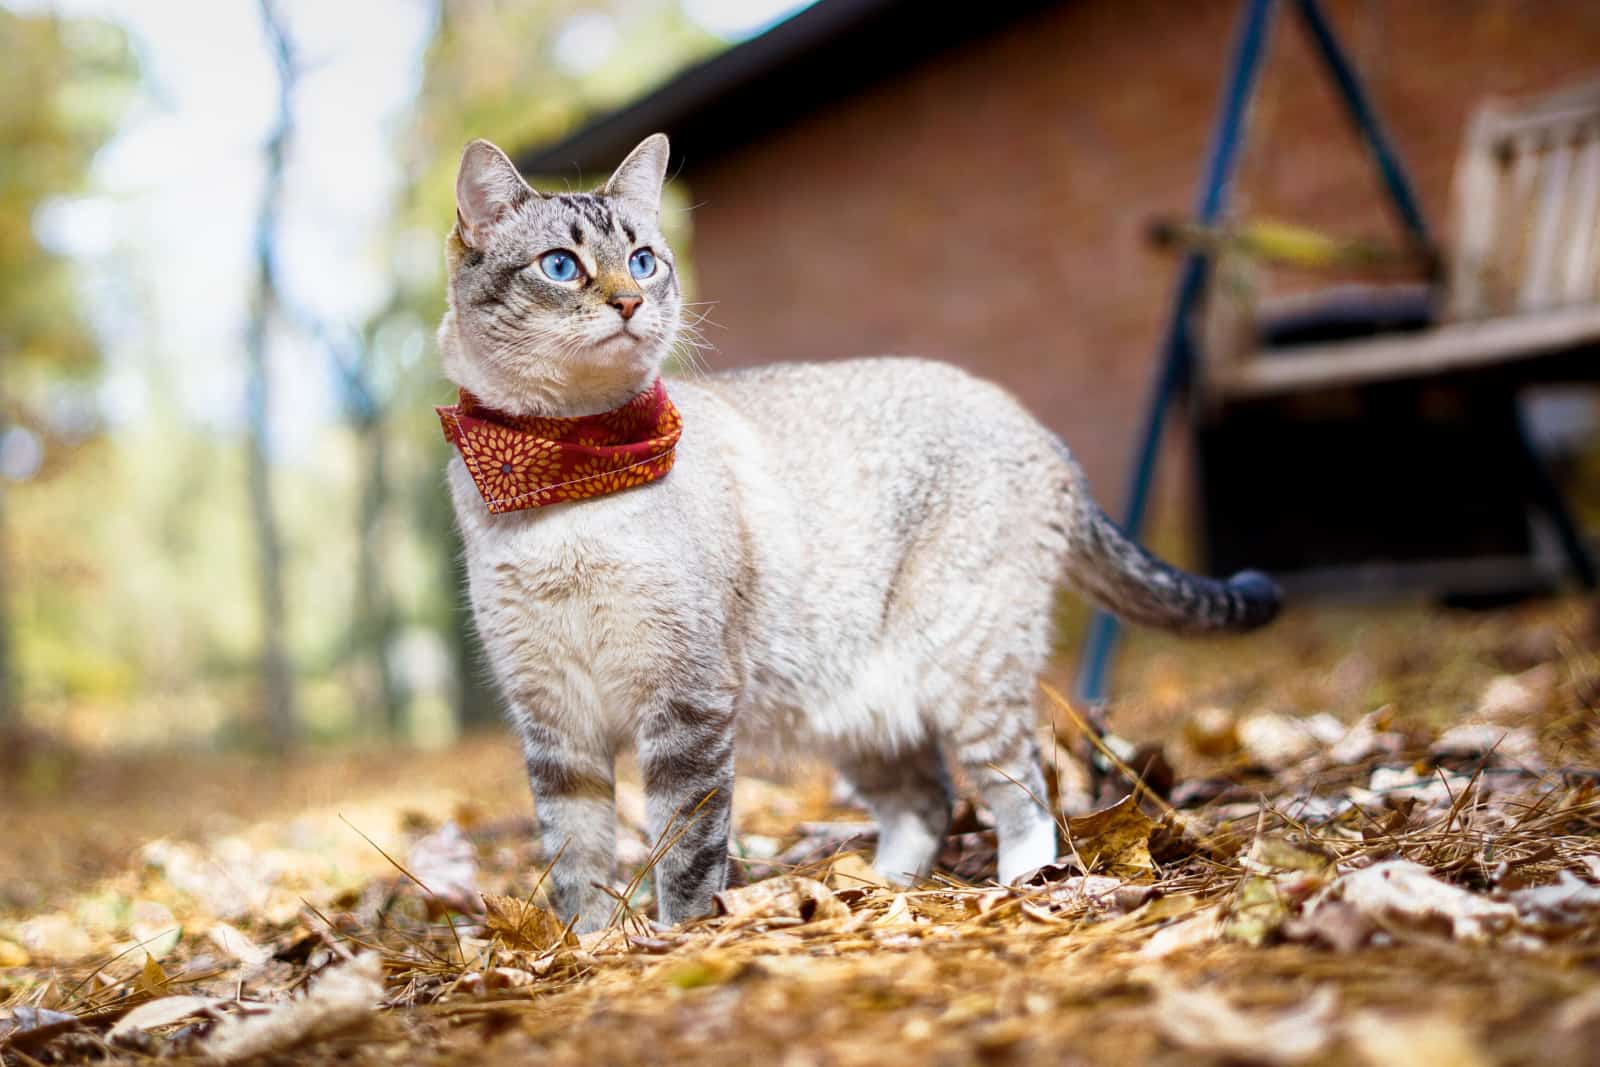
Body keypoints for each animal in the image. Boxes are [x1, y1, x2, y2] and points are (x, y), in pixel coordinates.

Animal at [435, 135, 1273, 934]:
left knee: (1022, 790)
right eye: (561, 266)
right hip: (857, 708)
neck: (565, 472)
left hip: (965, 668)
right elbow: (576, 862)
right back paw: (872, 889)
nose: (631, 301)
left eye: (643, 260)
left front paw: (674, 941)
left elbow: (684, 855)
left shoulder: (685, 704)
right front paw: (594, 950)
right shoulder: (555, 724)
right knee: (925, 801)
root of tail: (1032, 422)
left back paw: (1017, 887)